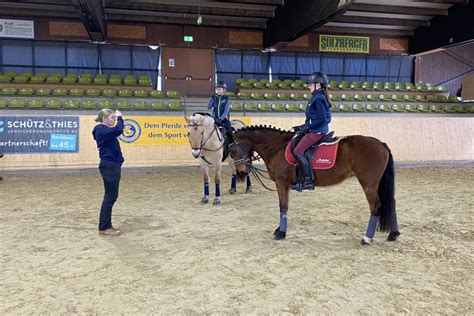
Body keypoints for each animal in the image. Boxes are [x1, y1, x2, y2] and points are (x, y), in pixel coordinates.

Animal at [230, 126, 400, 244]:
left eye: (233, 150)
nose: (242, 173)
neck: (277, 148)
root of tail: (380, 144)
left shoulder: (281, 183)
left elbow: (283, 206)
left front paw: (281, 233)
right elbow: (283, 206)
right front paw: (279, 230)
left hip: (368, 184)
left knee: (375, 207)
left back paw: (367, 238)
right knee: (391, 203)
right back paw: (393, 234)